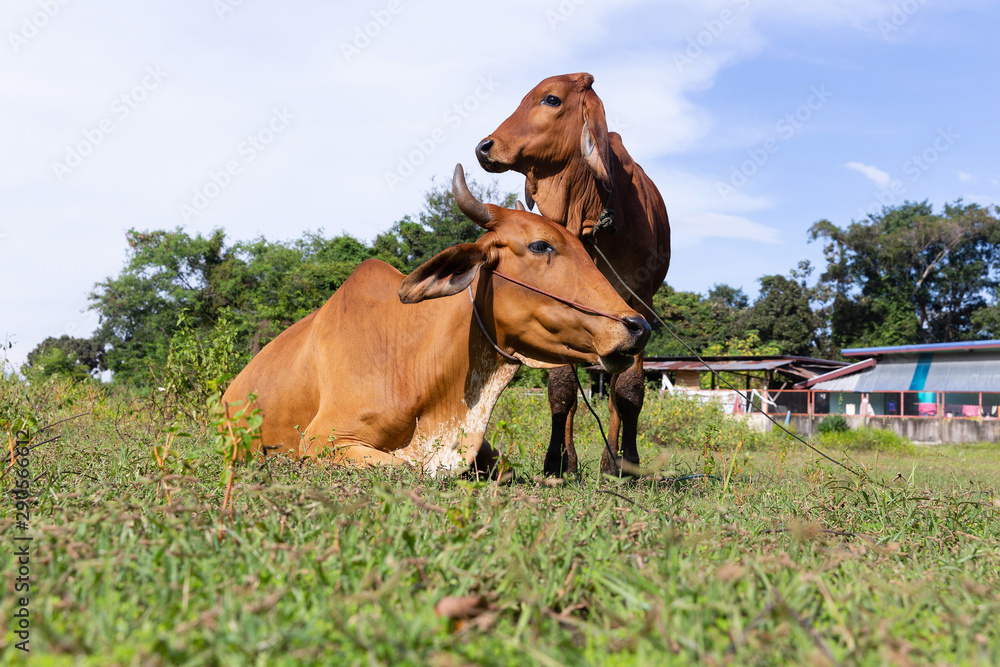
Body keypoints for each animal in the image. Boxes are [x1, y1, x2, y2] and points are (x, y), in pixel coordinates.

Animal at [475, 72, 670, 477]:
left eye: (551, 99)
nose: (484, 148)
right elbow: (562, 388)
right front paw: (556, 461)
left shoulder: (639, 302)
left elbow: (628, 390)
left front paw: (627, 462)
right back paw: (572, 459)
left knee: (614, 394)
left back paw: (612, 459)